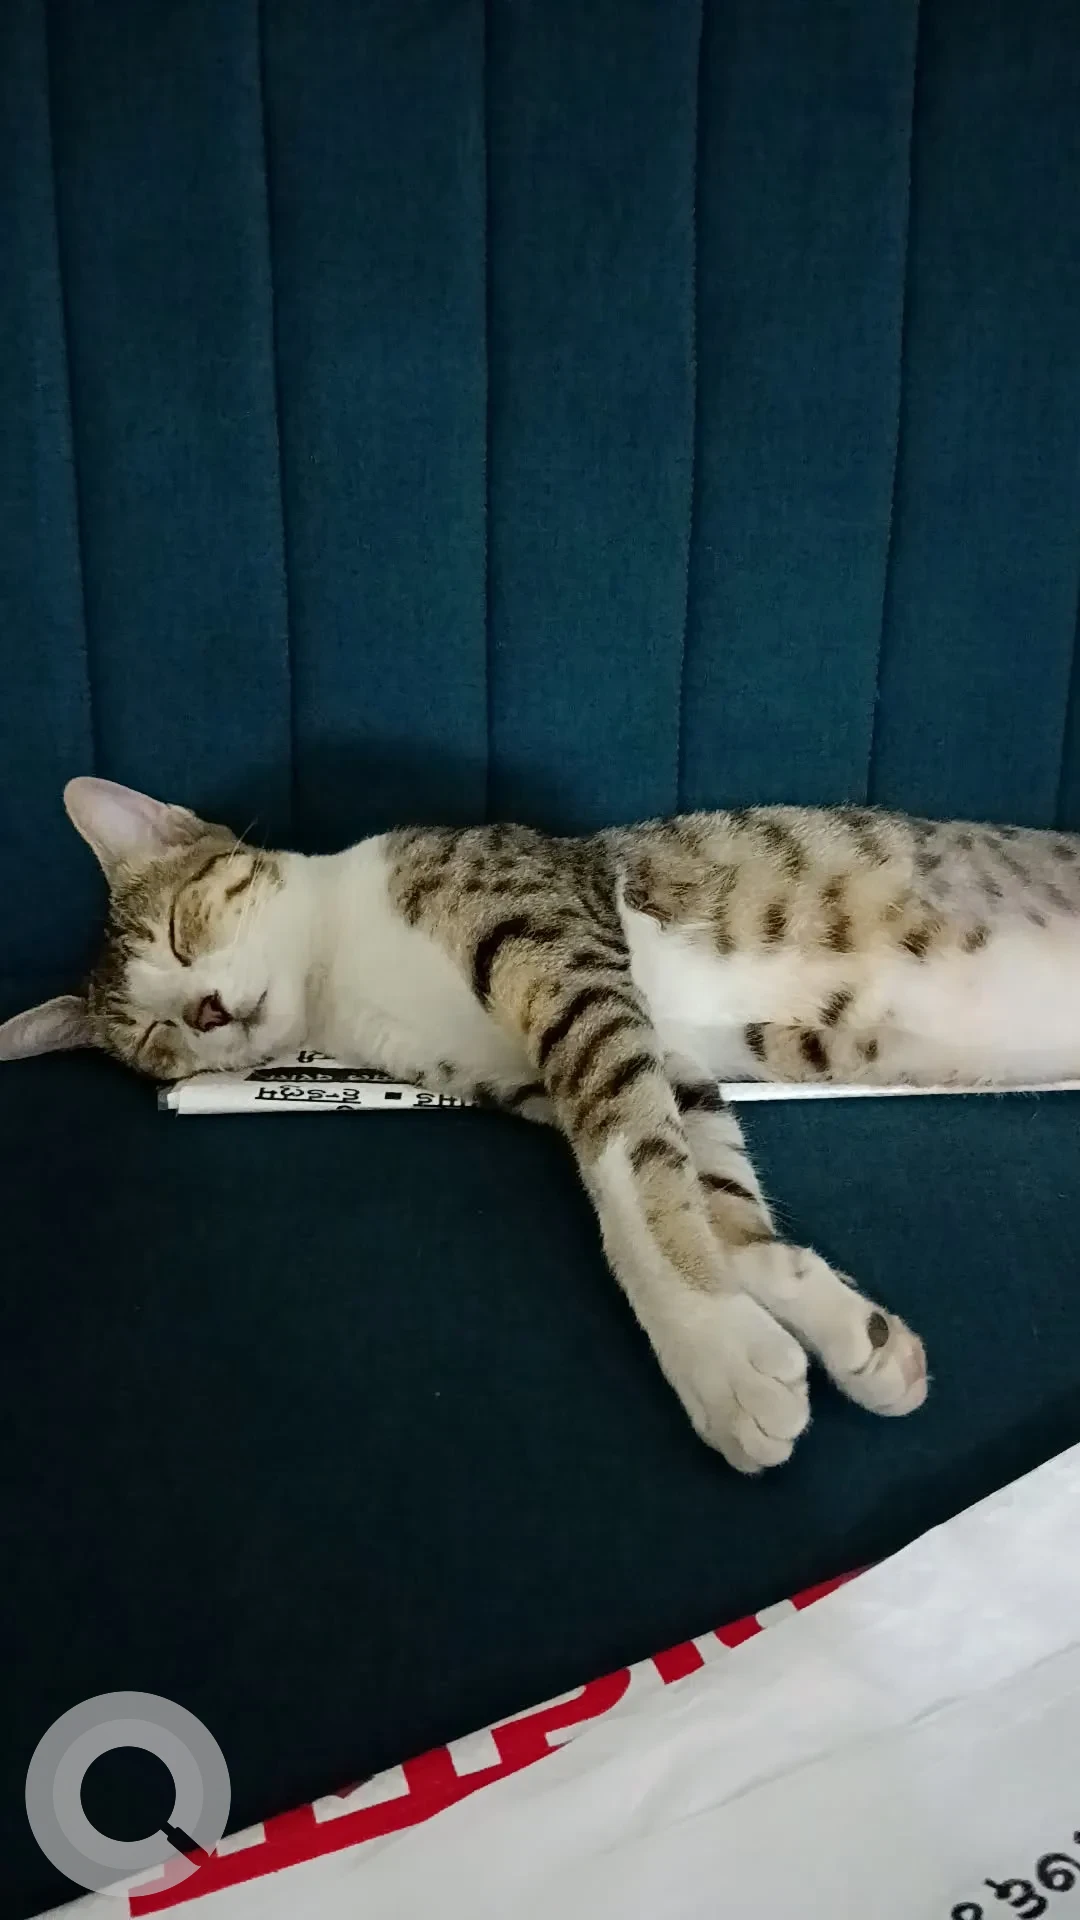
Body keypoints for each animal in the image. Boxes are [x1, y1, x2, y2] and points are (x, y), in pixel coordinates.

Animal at [9, 778, 1080, 1471]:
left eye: (185, 928)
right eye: (153, 1040)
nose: (202, 1014)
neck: (341, 983)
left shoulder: (566, 962)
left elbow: (629, 1182)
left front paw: (711, 1360)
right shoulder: (658, 1066)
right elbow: (714, 1204)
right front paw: (847, 1337)